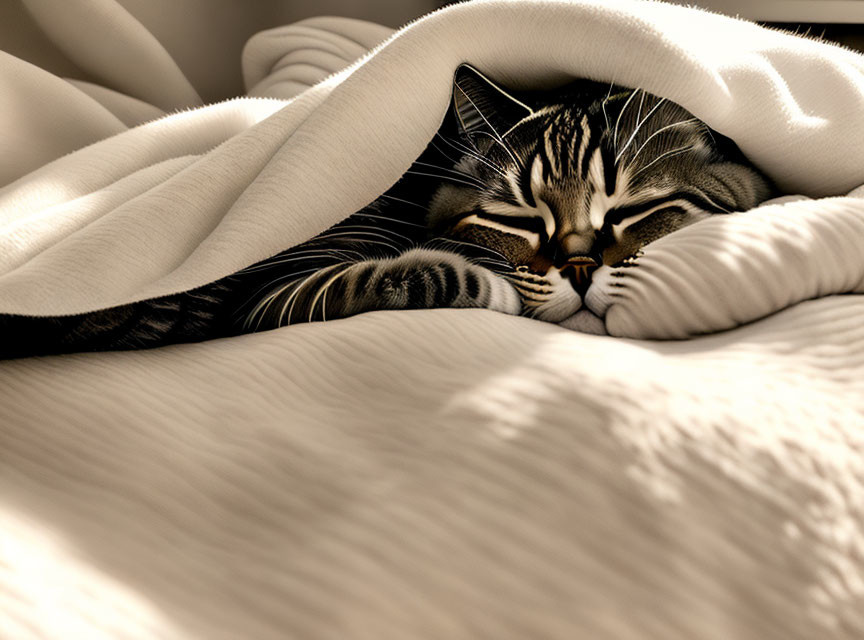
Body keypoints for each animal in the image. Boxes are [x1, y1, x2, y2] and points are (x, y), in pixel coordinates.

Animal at [0, 65, 776, 358]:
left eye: (634, 211)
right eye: (519, 221)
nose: (579, 268)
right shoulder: (270, 289)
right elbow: (415, 272)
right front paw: (493, 286)